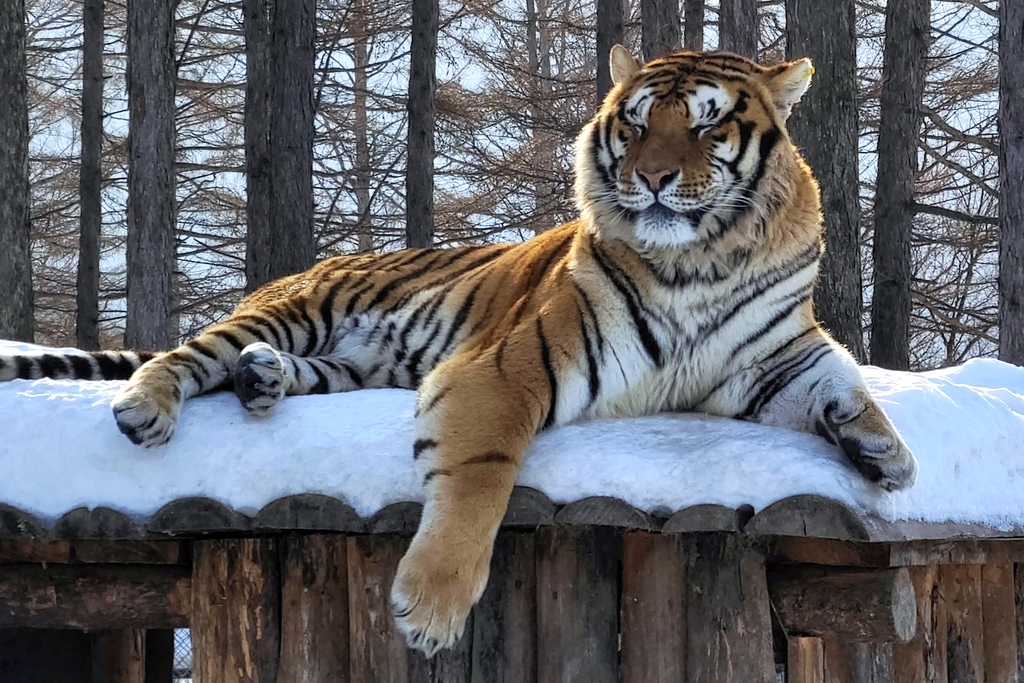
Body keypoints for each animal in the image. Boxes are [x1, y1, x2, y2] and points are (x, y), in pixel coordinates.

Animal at [0, 45, 917, 655]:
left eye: (708, 123)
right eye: (633, 123)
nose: (652, 178)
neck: (706, 260)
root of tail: (307, 270)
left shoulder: (765, 357)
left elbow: (835, 376)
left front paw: (885, 451)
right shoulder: (510, 366)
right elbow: (481, 473)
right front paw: (431, 606)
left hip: (352, 359)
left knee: (259, 369)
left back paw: (263, 381)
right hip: (300, 310)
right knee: (189, 356)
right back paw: (146, 408)